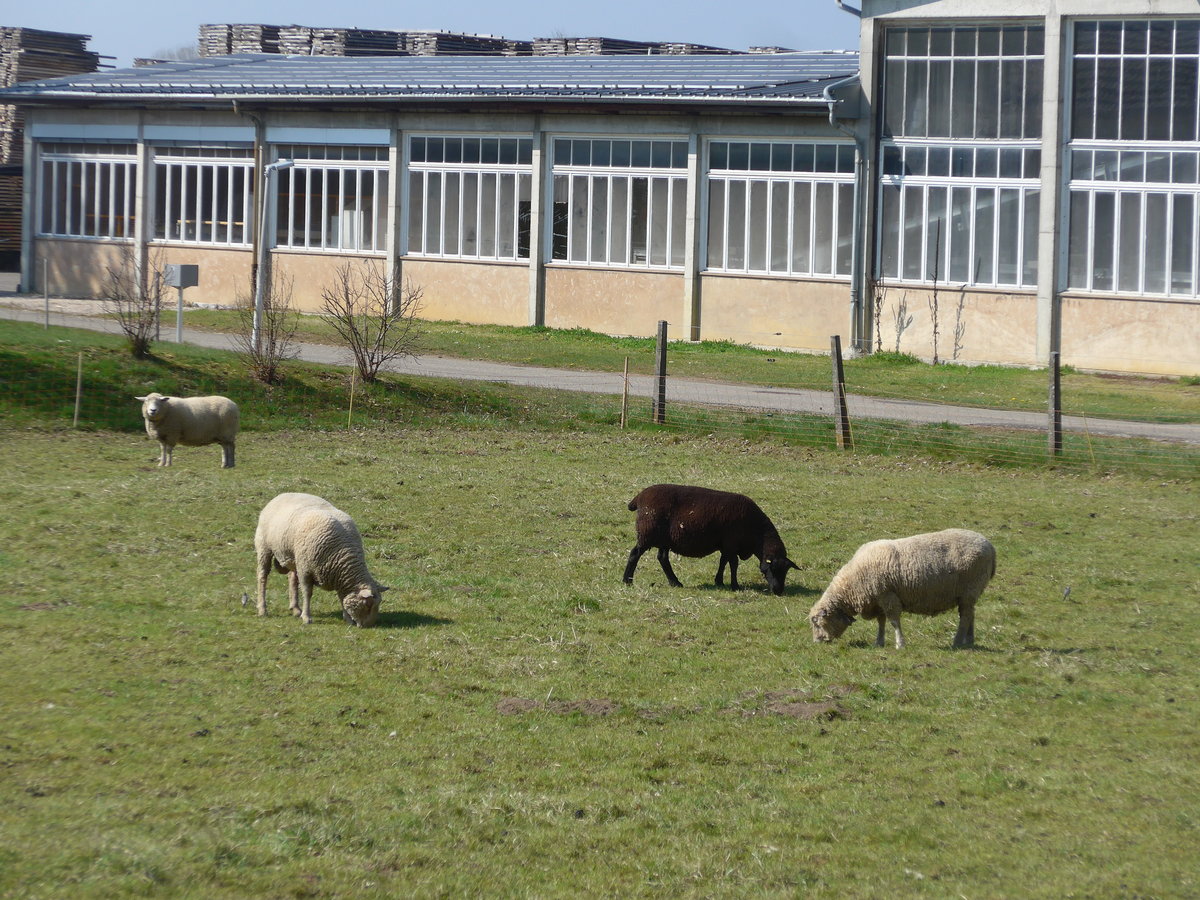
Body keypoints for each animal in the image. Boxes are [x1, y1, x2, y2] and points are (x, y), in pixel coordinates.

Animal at [254, 492, 389, 627]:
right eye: (368, 604)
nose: (368, 626)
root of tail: (283, 494)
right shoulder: (306, 570)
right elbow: (307, 593)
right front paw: (307, 617)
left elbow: (342, 597)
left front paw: (348, 619)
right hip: (264, 547)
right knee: (262, 576)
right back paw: (262, 609)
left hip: (294, 557)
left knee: (292, 578)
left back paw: (295, 608)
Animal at [622, 483, 798, 595]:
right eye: (772, 568)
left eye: (786, 571)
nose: (778, 591)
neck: (756, 533)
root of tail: (639, 498)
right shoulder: (732, 543)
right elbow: (733, 564)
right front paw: (735, 585)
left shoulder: (726, 545)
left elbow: (723, 561)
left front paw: (719, 581)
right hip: (647, 533)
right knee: (635, 554)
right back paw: (627, 581)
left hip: (665, 539)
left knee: (662, 558)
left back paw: (675, 582)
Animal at [809, 528, 996, 649]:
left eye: (817, 623)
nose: (817, 642)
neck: (852, 586)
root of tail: (989, 546)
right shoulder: (878, 600)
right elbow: (881, 621)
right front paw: (879, 642)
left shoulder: (887, 596)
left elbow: (893, 621)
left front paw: (900, 644)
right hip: (969, 594)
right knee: (970, 614)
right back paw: (969, 640)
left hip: (969, 589)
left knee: (965, 617)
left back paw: (957, 642)